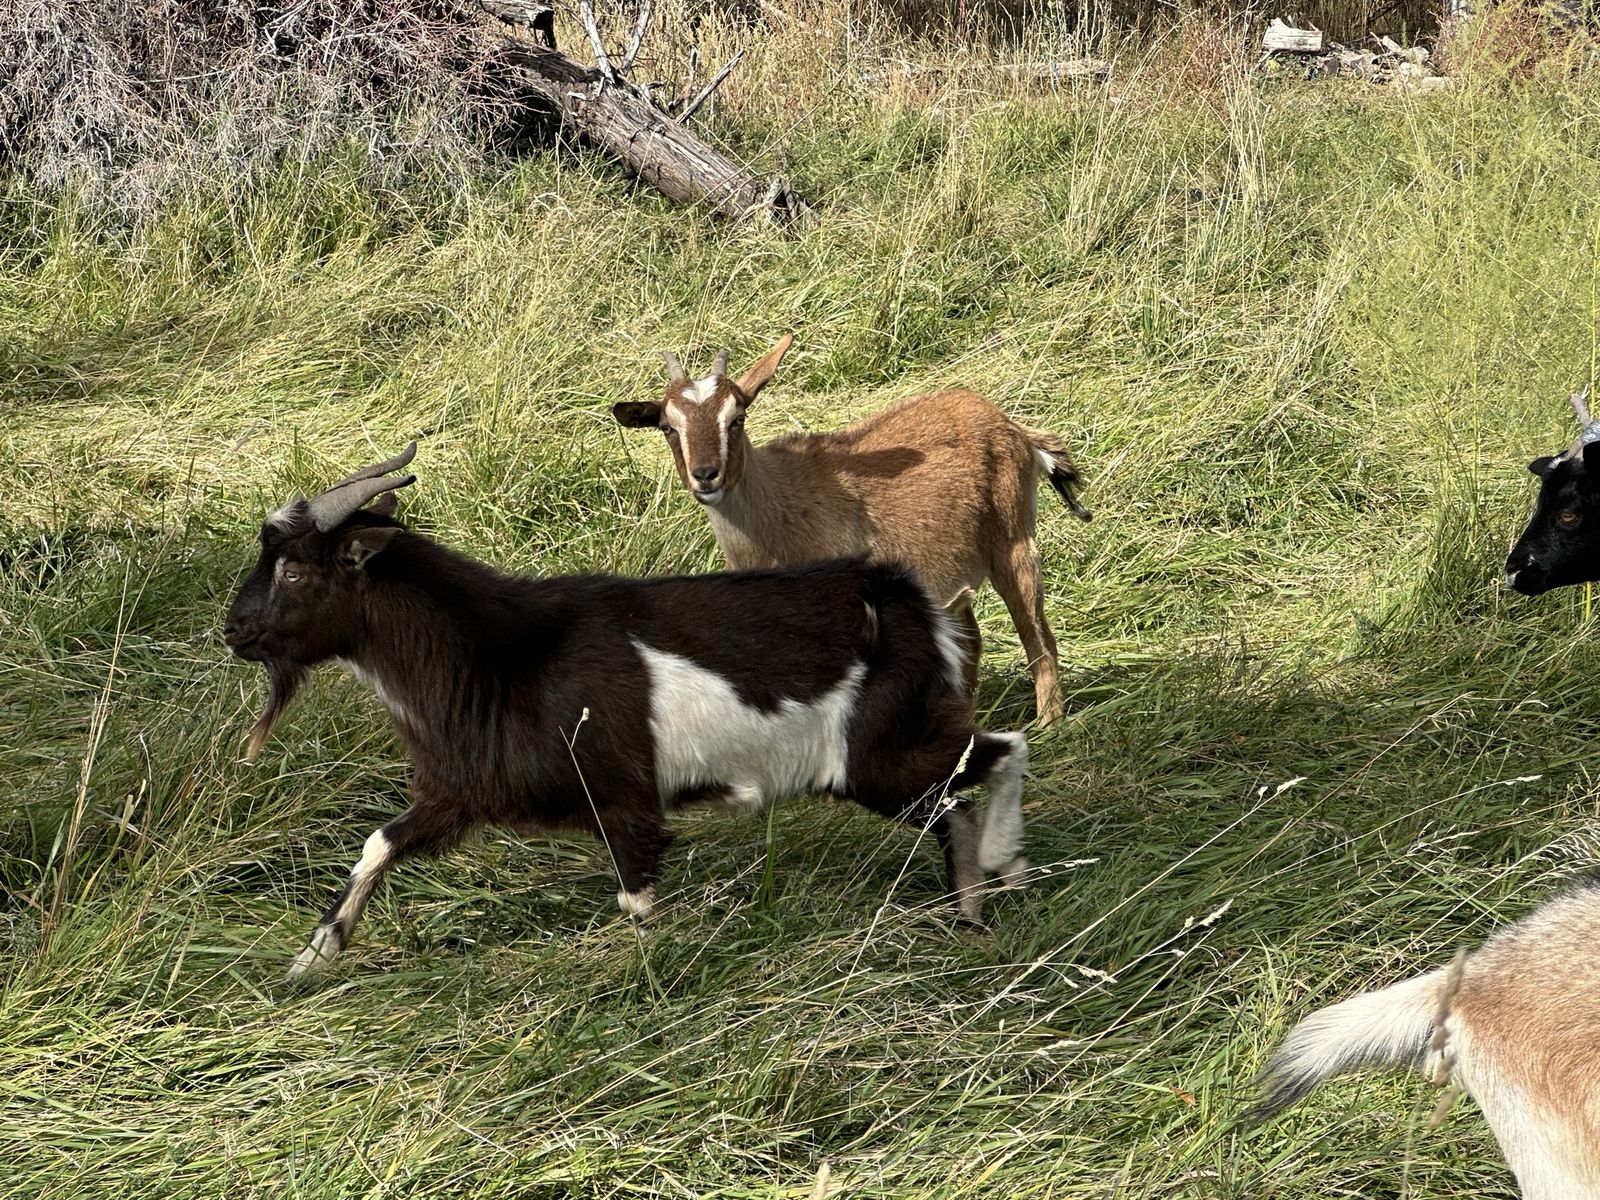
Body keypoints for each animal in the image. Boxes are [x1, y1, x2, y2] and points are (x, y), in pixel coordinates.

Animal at [224, 443, 1031, 980]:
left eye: (293, 570)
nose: (233, 631)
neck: (498, 657)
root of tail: (904, 598)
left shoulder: (623, 801)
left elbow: (638, 904)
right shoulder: (458, 793)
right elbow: (379, 843)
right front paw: (309, 960)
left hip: (877, 753)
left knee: (1002, 752)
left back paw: (1006, 867)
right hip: (886, 763)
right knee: (956, 804)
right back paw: (970, 915)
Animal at [611, 335, 1091, 725]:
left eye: (737, 418)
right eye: (667, 427)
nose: (706, 475)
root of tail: (1013, 428)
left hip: (1013, 541)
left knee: (1039, 639)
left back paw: (1048, 725)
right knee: (970, 641)